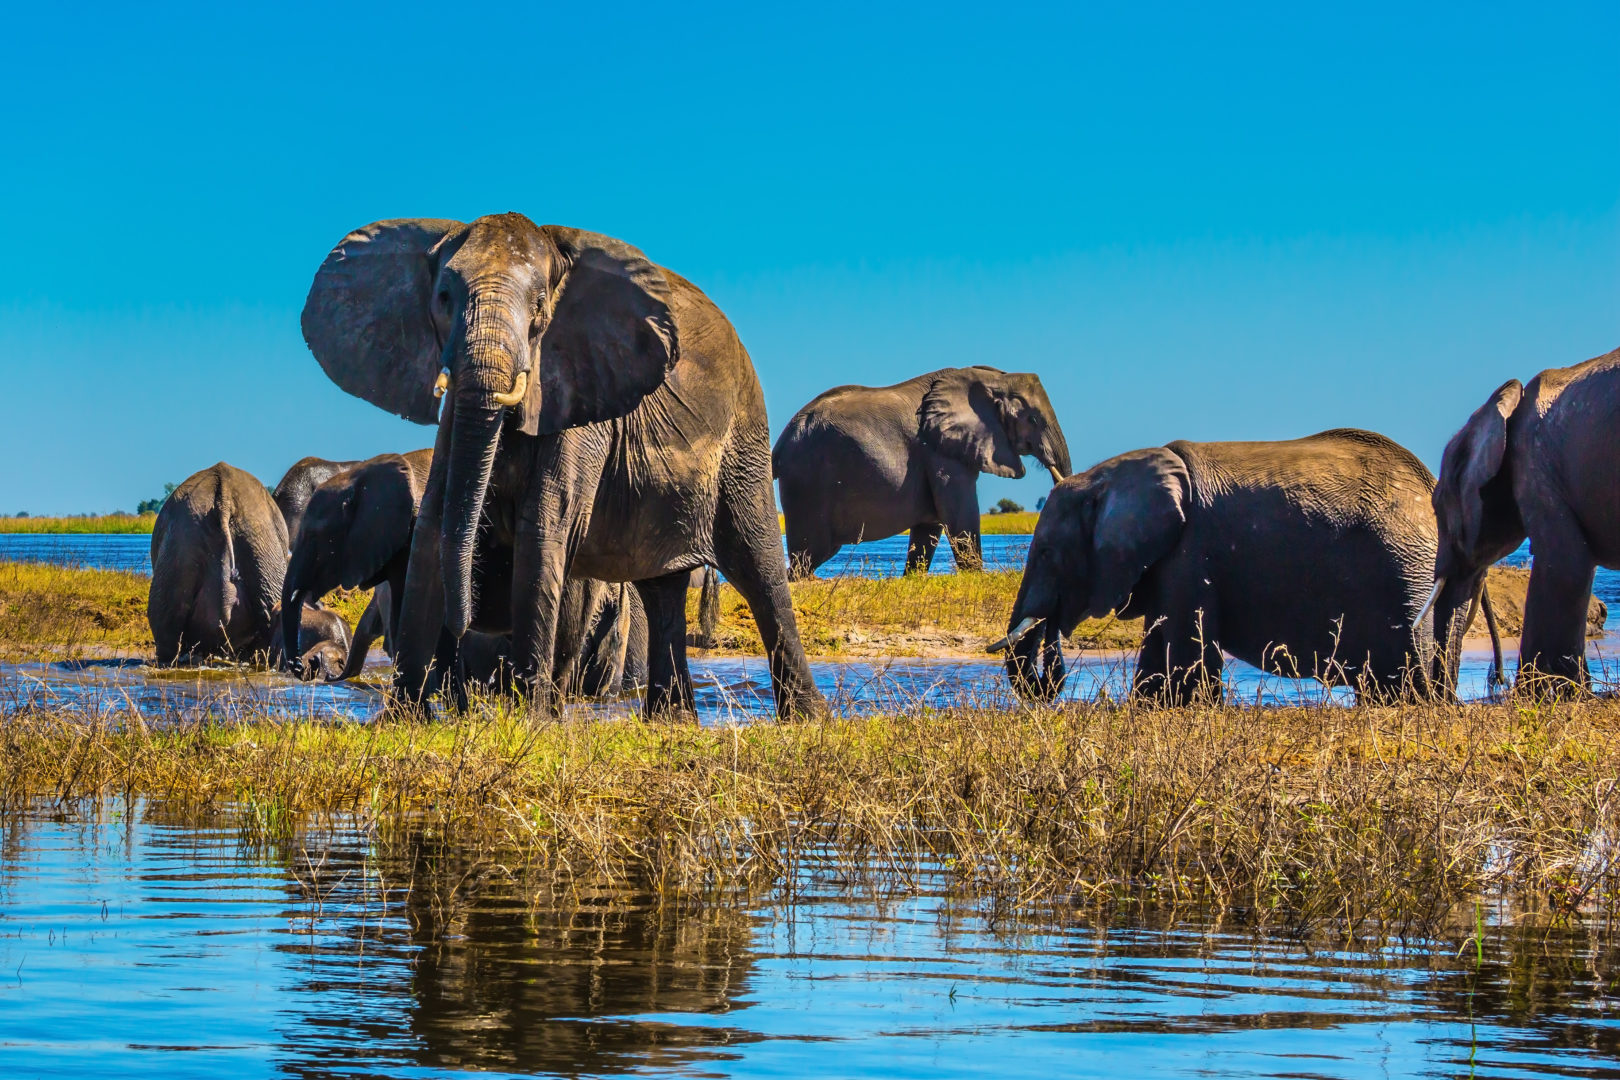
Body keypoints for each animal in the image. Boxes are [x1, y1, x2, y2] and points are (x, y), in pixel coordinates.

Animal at [301, 210, 822, 718]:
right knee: (661, 590)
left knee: (759, 569)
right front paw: (403, 720)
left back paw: (807, 718)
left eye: (538, 308)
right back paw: (671, 721)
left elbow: (543, 528)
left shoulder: (580, 393)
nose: (466, 622)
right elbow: (433, 526)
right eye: (445, 297)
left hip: (743, 438)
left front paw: (531, 721)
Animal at [774, 367, 1069, 579]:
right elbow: (959, 513)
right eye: (1033, 420)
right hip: (808, 482)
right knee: (812, 552)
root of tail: (781, 441)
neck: (993, 378)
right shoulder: (941, 453)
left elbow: (930, 525)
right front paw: (977, 577)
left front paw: (912, 578)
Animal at [984, 430, 1483, 709]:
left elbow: (1188, 654)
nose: (1049, 670)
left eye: (1046, 552)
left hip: (1406, 575)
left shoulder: (1191, 552)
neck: (1108, 477)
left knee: (1403, 679)